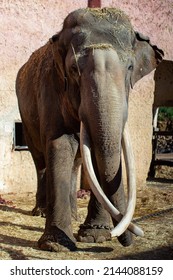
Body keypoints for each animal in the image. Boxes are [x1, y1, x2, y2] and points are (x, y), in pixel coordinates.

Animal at [15, 7, 164, 253]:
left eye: (130, 68)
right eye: (74, 69)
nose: (123, 236)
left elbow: (98, 148)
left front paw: (95, 237)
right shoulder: (51, 88)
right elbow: (59, 145)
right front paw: (57, 244)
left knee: (76, 163)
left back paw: (75, 216)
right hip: (26, 118)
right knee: (40, 159)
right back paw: (41, 212)